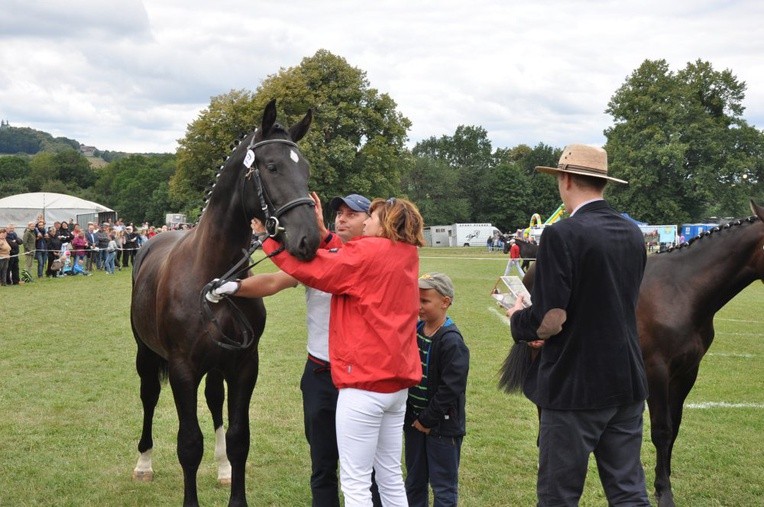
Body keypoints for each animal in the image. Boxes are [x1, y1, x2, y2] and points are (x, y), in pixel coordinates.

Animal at [129, 100, 320, 507]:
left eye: (306, 169)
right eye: (272, 166)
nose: (309, 239)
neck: (212, 274)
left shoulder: (244, 365)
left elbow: (238, 438)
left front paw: (233, 484)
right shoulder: (183, 369)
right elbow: (188, 444)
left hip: (217, 366)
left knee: (215, 402)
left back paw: (221, 469)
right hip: (146, 354)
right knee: (149, 397)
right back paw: (144, 464)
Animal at [498, 200, 764, 506]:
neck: (681, 291)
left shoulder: (686, 373)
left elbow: (674, 427)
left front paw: (664, 481)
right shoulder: (655, 372)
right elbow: (661, 430)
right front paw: (664, 492)